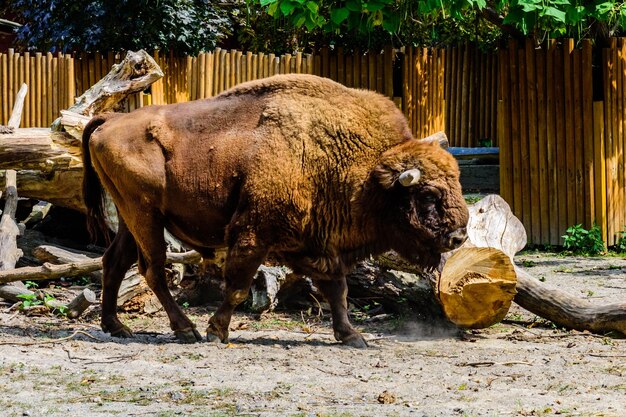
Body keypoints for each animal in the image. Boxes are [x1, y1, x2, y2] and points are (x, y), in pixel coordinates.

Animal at [80, 73, 466, 346]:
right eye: (428, 194)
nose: (459, 236)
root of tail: (110, 119)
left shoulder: (317, 245)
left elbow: (337, 291)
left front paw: (353, 337)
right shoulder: (253, 235)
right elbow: (238, 286)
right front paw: (216, 331)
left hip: (130, 217)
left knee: (114, 262)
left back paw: (117, 326)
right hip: (145, 215)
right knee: (153, 269)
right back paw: (186, 330)